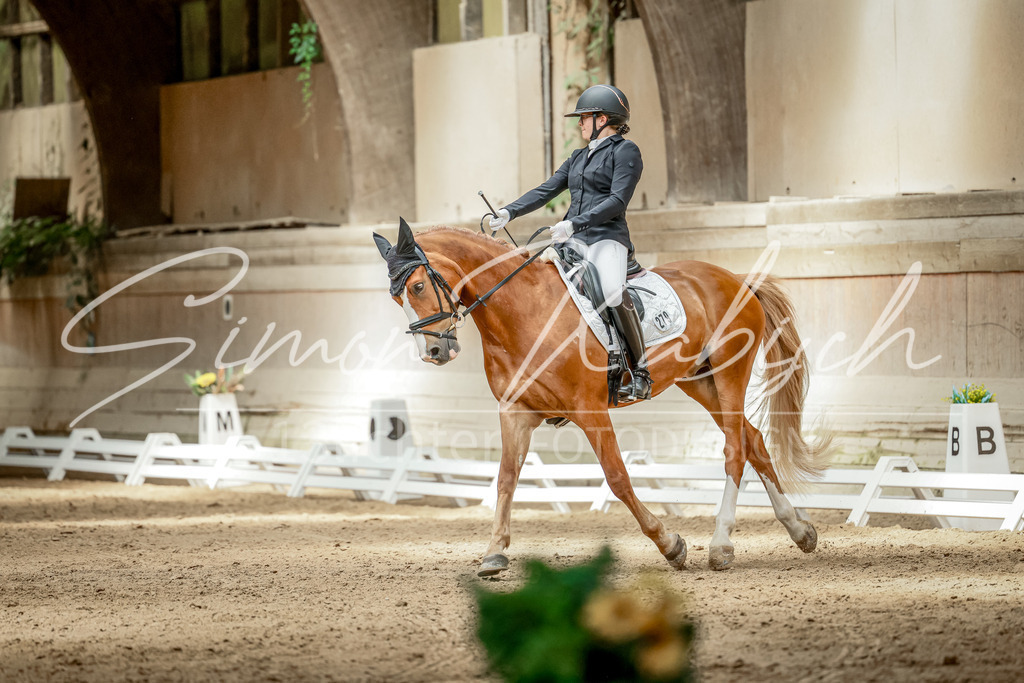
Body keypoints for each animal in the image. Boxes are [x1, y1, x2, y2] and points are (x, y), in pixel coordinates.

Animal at [373, 218, 833, 574]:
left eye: (417, 286)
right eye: (396, 297)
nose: (434, 352)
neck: (521, 311)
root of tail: (737, 279)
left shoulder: (589, 410)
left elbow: (617, 478)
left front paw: (671, 544)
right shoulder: (515, 412)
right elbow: (505, 479)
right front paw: (494, 553)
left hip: (729, 373)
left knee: (736, 449)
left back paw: (721, 545)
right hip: (700, 382)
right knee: (753, 440)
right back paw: (800, 530)